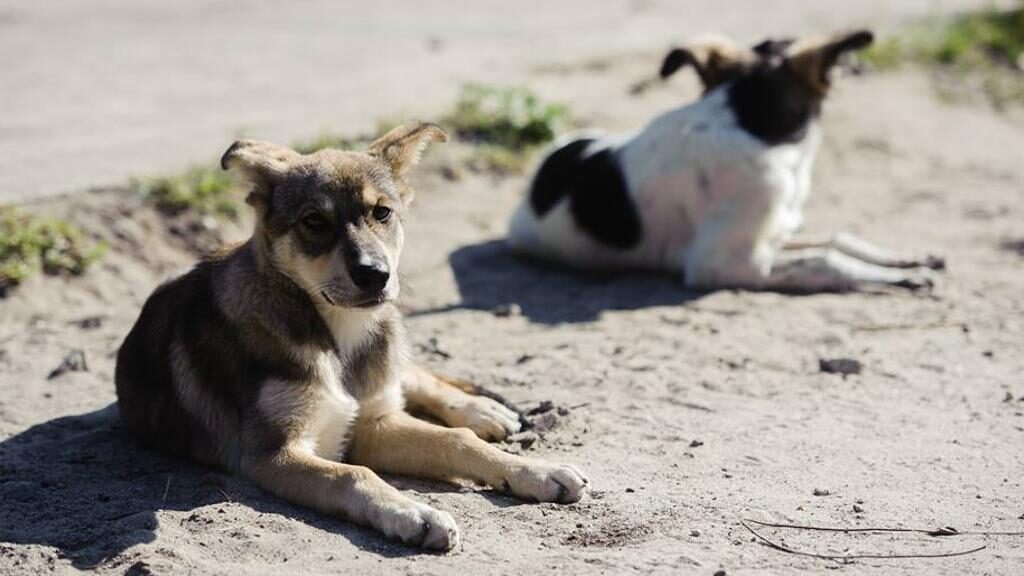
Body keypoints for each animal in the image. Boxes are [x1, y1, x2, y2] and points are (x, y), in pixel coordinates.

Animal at [113, 121, 589, 553]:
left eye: (382, 212)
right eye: (314, 221)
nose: (375, 275)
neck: (338, 339)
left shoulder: (374, 422)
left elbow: (454, 440)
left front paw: (536, 471)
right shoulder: (274, 453)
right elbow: (354, 474)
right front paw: (415, 514)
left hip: (388, 362)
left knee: (414, 376)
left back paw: (481, 410)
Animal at [507, 30, 946, 291]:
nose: (862, 67)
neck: (747, 121)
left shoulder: (777, 230)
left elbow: (837, 238)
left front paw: (903, 259)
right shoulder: (724, 265)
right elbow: (826, 260)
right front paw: (898, 277)